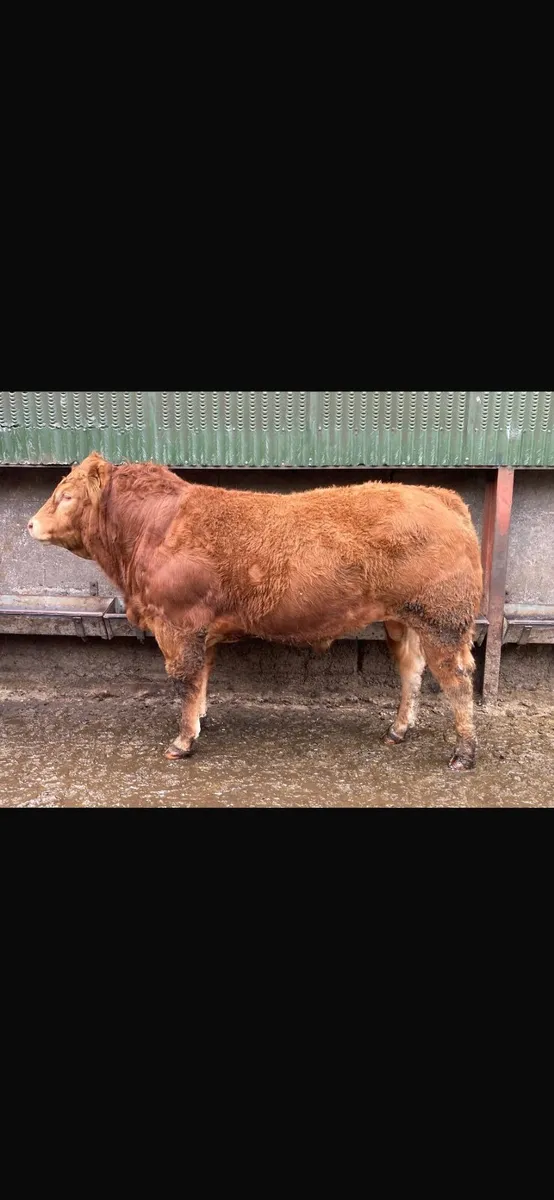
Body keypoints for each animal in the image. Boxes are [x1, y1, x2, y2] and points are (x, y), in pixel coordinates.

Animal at [28, 452, 483, 770]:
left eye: (66, 496)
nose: (30, 524)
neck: (154, 528)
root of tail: (438, 496)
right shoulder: (202, 629)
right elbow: (203, 677)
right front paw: (201, 719)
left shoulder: (178, 624)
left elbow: (186, 680)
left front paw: (183, 740)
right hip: (403, 620)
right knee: (411, 671)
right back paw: (398, 730)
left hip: (443, 620)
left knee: (457, 681)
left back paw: (463, 754)